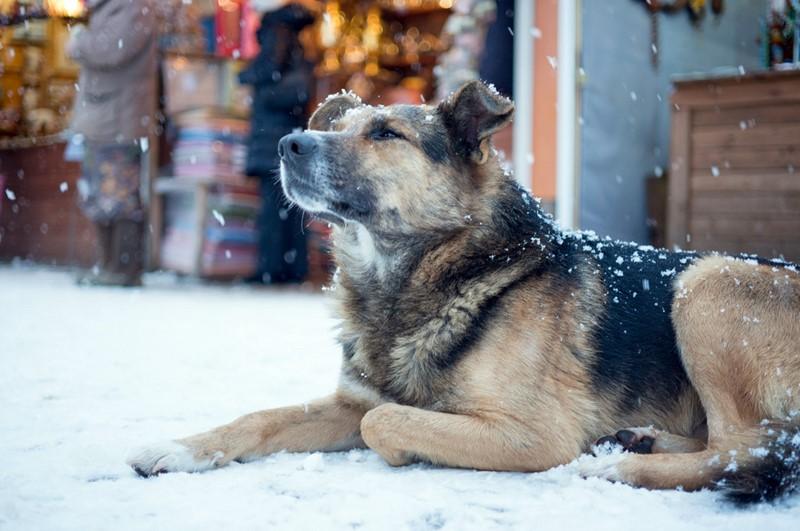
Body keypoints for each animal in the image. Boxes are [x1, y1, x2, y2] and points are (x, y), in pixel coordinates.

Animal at [131, 81, 800, 504]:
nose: (287, 143)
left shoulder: (533, 435)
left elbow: (384, 421)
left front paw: (409, 450)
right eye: (338, 126)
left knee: (749, 448)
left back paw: (622, 464)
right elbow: (264, 417)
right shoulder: (349, 399)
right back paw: (642, 439)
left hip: (706, 284)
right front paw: (179, 448)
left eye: (386, 133)